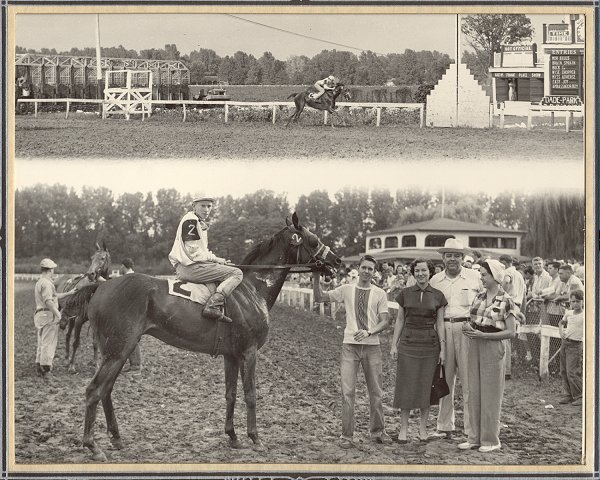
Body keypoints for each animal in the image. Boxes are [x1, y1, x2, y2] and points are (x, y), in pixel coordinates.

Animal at [58, 244, 111, 372]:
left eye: (102, 258)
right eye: (91, 258)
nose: (90, 274)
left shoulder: (94, 321)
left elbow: (95, 343)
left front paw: (96, 364)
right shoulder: (79, 320)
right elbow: (76, 342)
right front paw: (72, 365)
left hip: (71, 319)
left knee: (67, 335)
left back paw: (66, 358)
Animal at [67, 214, 340, 462]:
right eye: (314, 240)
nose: (336, 261)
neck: (252, 289)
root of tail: (101, 286)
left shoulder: (231, 355)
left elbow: (231, 393)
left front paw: (233, 437)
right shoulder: (249, 352)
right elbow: (250, 394)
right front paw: (255, 438)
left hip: (118, 350)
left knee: (106, 390)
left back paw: (116, 438)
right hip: (118, 349)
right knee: (94, 390)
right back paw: (93, 446)